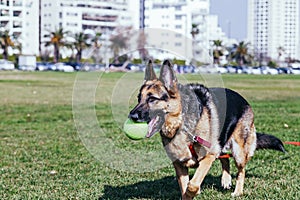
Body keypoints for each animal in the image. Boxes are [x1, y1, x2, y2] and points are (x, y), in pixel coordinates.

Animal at [127, 60, 284, 199]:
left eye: (152, 99)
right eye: (139, 98)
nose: (132, 116)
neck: (181, 124)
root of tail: (243, 99)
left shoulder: (208, 156)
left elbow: (192, 185)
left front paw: (195, 192)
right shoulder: (179, 164)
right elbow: (185, 188)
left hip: (238, 151)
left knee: (241, 170)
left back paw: (238, 191)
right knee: (224, 158)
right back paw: (226, 180)